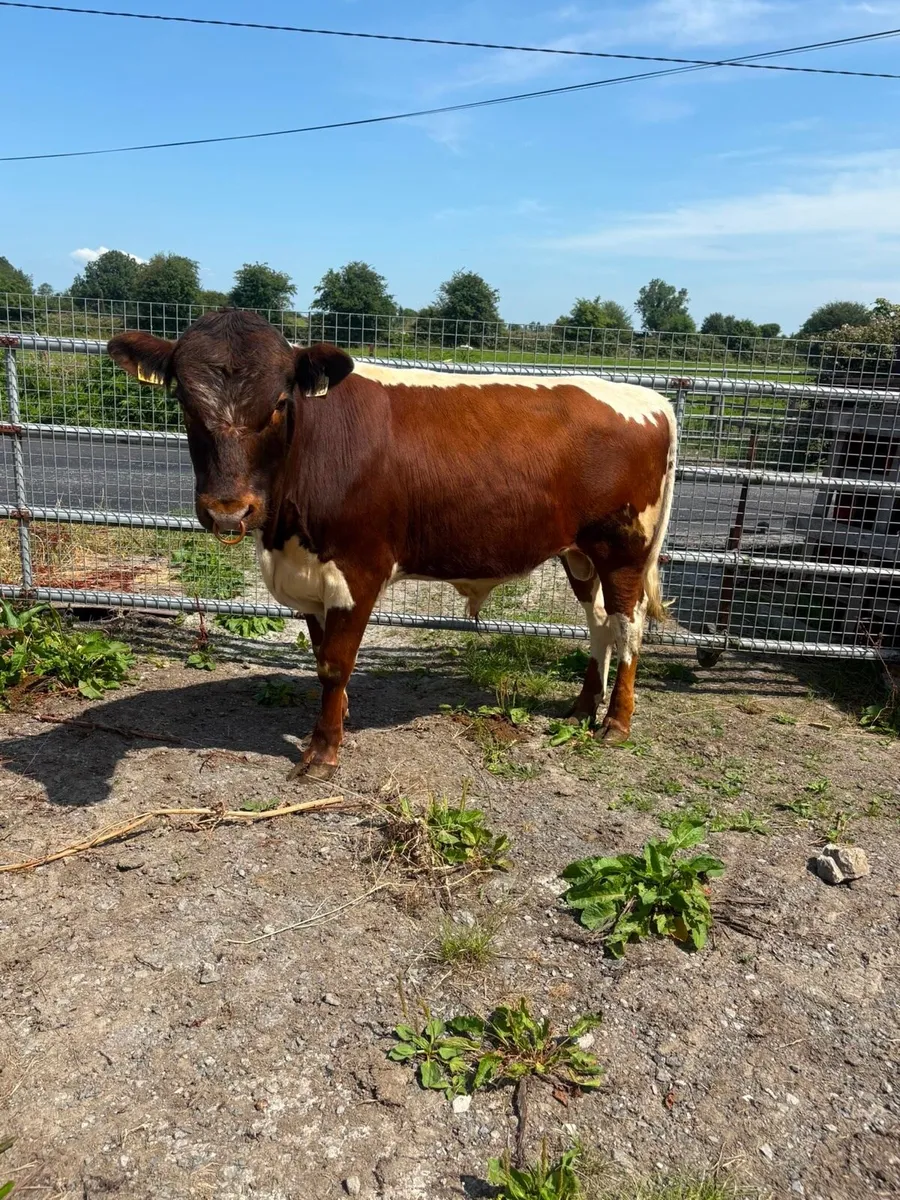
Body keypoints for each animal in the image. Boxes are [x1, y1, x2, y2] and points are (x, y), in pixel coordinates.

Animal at [108, 310, 677, 781]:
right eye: (184, 402)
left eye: (279, 404)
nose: (229, 510)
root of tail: (651, 401)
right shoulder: (312, 572)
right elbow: (321, 655)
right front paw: (338, 718)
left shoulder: (357, 569)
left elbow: (335, 664)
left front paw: (323, 752)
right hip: (580, 553)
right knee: (598, 624)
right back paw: (582, 709)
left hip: (625, 549)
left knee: (628, 628)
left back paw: (616, 724)